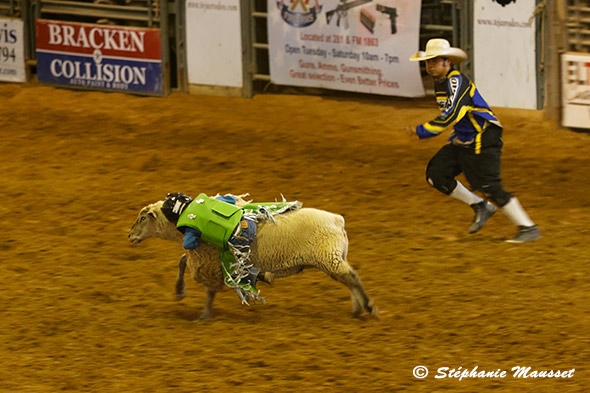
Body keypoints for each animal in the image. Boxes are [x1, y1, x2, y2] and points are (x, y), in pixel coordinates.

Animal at [129, 199, 380, 318]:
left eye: (142, 218)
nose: (129, 235)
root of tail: (337, 220)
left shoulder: (212, 263)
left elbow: (209, 290)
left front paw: (204, 315)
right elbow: (182, 261)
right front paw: (179, 292)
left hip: (328, 257)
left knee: (352, 278)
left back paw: (368, 307)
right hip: (332, 258)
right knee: (348, 280)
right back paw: (358, 309)